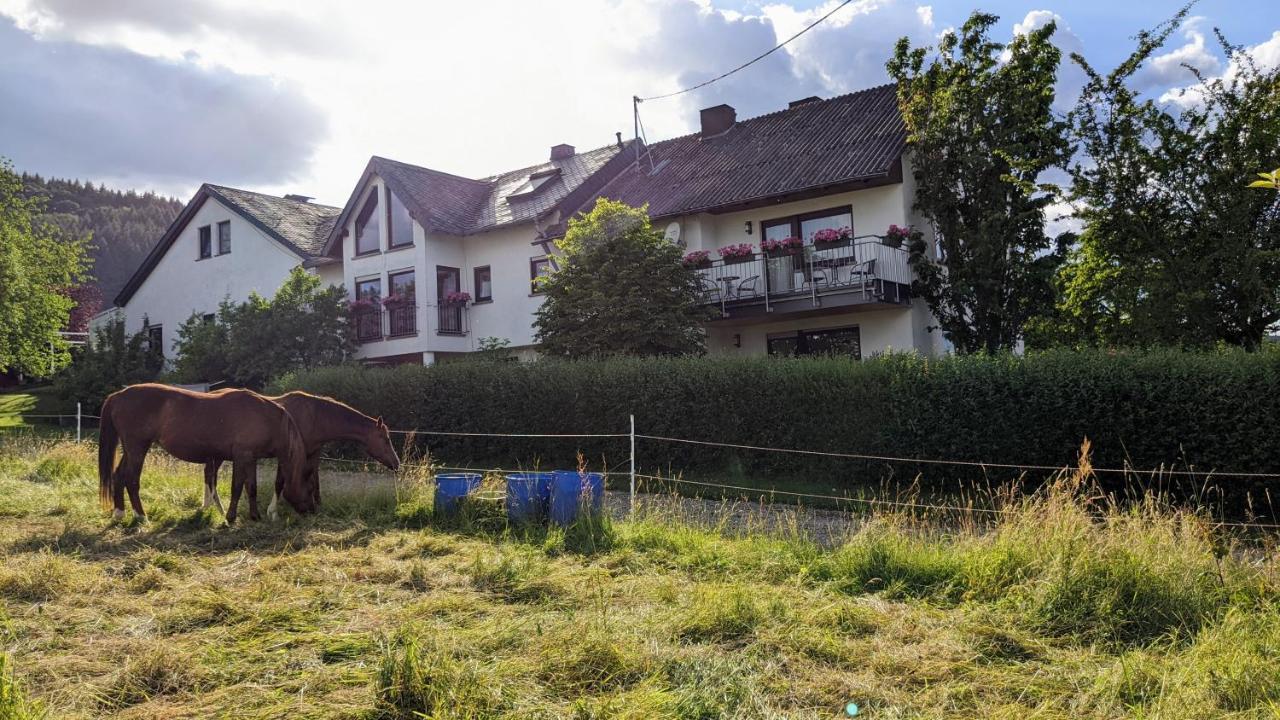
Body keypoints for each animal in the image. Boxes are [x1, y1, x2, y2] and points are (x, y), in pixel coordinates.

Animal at [96, 381, 312, 520]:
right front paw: (230, 518)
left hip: (131, 450)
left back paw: (119, 513)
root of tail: (118, 396)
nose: (310, 511)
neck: (266, 418)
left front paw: (255, 516)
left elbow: (251, 487)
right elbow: (236, 487)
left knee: (118, 476)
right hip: (138, 448)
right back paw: (141, 516)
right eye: (307, 486)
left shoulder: (251, 459)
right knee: (131, 479)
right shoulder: (241, 457)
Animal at [202, 392, 399, 515]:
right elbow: (279, 483)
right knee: (210, 474)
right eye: (386, 439)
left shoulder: (313, 453)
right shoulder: (287, 454)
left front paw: (318, 504)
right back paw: (211, 506)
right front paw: (273, 511)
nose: (397, 463)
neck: (316, 417)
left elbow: (314, 480)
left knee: (209, 474)